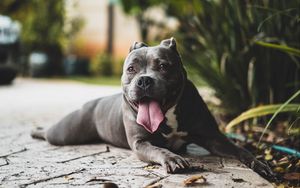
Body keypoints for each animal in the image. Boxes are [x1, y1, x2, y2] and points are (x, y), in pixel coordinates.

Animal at [32, 37, 274, 180]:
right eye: (131, 69)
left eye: (164, 66)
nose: (144, 80)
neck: (168, 114)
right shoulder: (141, 143)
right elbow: (159, 149)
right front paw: (173, 159)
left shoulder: (213, 137)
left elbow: (239, 149)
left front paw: (259, 163)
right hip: (66, 132)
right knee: (50, 133)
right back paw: (37, 131)